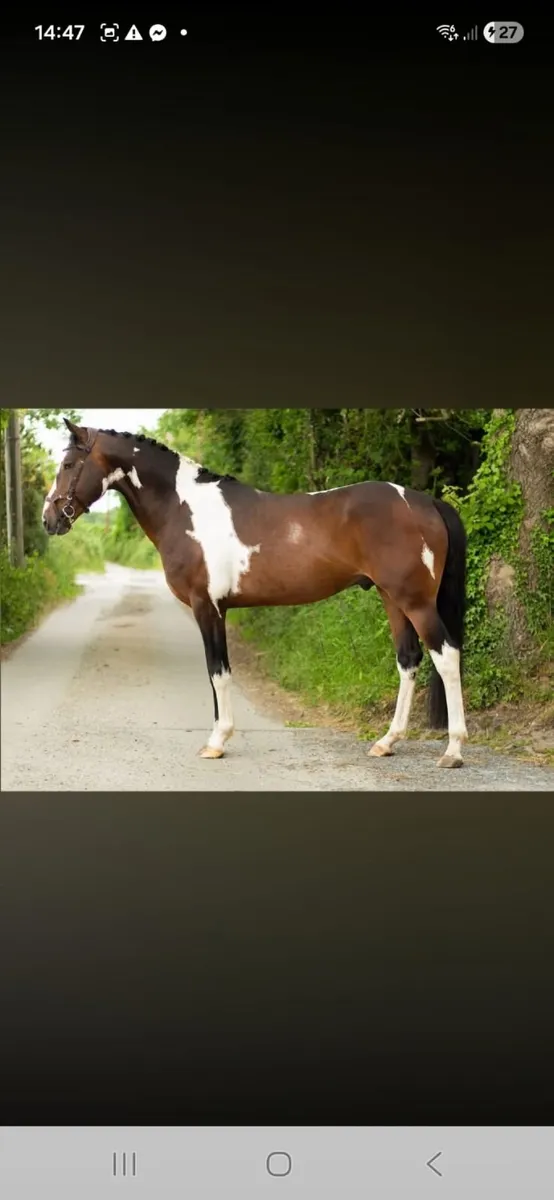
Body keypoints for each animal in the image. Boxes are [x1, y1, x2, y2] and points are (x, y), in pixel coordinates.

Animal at [42, 418, 469, 768]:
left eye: (68, 465)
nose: (49, 519)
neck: (185, 508)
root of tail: (424, 501)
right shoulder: (216, 608)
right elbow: (218, 672)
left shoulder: (207, 607)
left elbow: (217, 671)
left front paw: (217, 742)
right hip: (391, 597)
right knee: (409, 660)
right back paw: (387, 742)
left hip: (415, 601)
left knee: (446, 656)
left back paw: (453, 750)